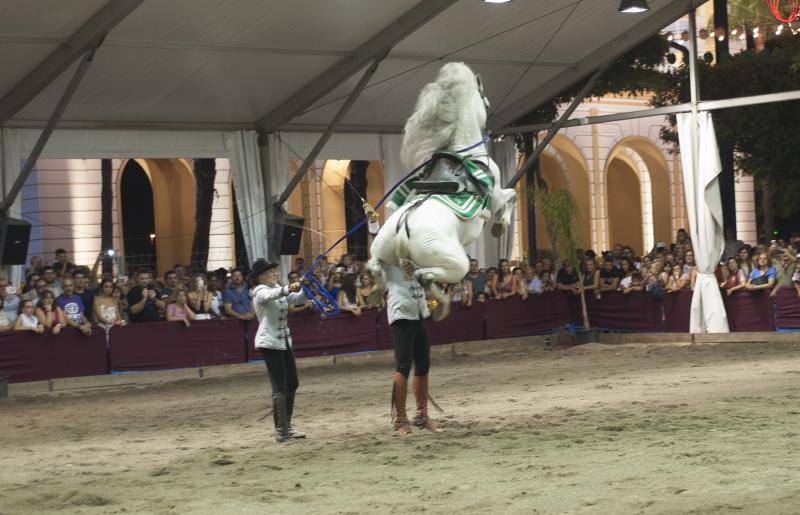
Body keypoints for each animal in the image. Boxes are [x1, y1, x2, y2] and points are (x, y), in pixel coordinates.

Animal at [368, 63, 520, 320]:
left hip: (382, 252)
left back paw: (377, 295)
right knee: (424, 276)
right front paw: (500, 226)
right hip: (457, 262)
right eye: (484, 100)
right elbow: (512, 195)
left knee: (375, 267)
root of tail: (403, 227)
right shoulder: (497, 195)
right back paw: (442, 306)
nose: (488, 122)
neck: (466, 152)